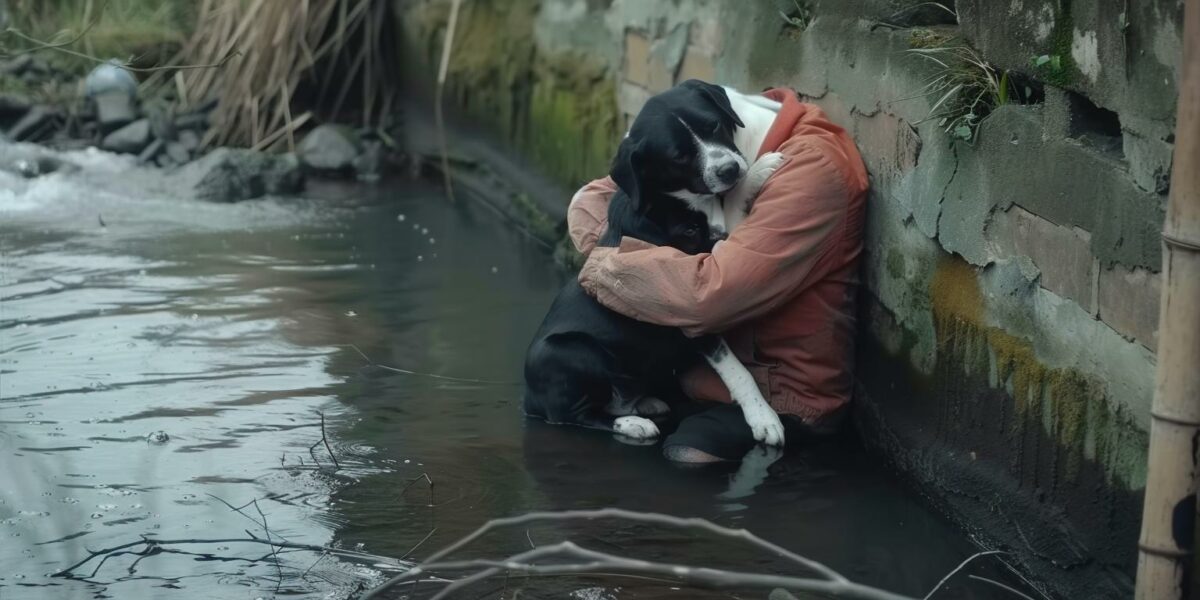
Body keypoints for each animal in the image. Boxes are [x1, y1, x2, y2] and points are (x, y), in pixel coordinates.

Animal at [518, 79, 782, 446]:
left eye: (713, 126)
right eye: (679, 156)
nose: (729, 169)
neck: (681, 201)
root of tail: (529, 401)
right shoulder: (694, 295)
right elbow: (737, 371)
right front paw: (764, 418)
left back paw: (644, 404)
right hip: (569, 353)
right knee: (572, 416)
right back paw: (633, 424)